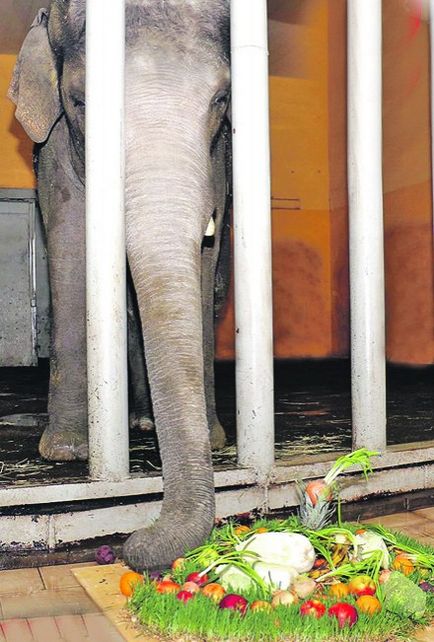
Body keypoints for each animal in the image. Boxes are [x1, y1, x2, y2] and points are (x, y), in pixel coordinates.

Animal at [8, 0, 232, 568]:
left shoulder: (219, 159)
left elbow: (205, 261)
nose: (131, 543)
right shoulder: (56, 146)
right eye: (82, 101)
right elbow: (70, 243)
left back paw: (148, 426)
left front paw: (213, 439)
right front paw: (67, 452)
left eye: (221, 99)